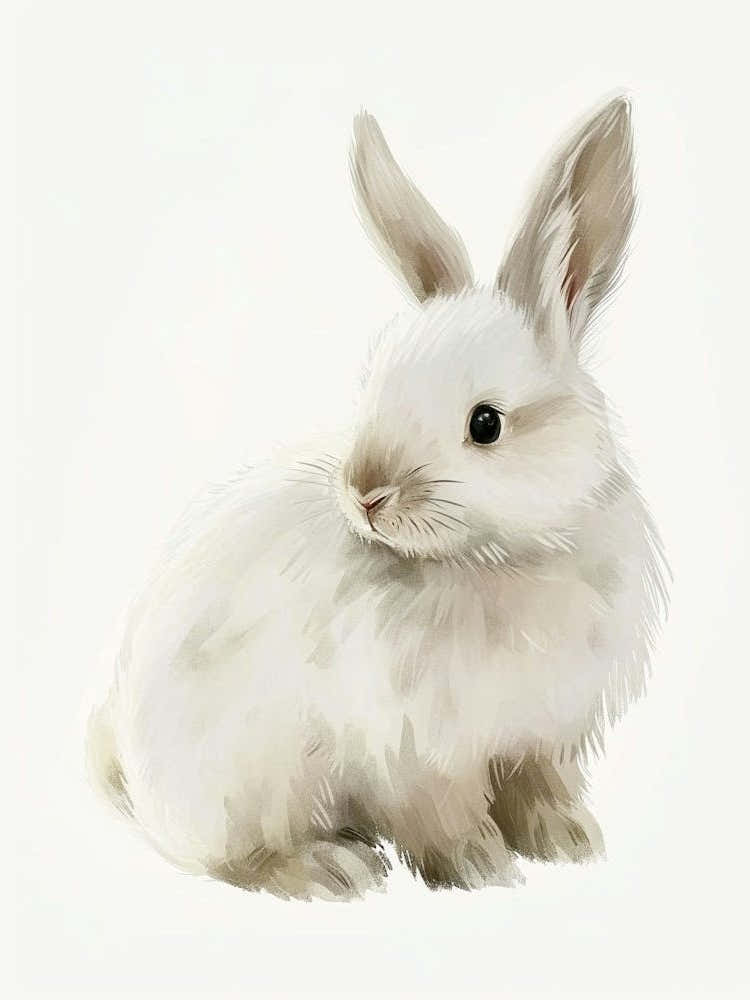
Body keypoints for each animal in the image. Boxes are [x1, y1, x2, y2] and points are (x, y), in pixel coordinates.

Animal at [87, 95, 669, 901]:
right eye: (373, 389)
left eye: (485, 424)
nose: (364, 493)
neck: (498, 558)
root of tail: (137, 784)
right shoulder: (413, 750)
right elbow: (442, 814)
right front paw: (481, 868)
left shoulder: (540, 736)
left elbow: (539, 789)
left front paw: (568, 841)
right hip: (247, 786)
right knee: (233, 860)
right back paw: (332, 868)